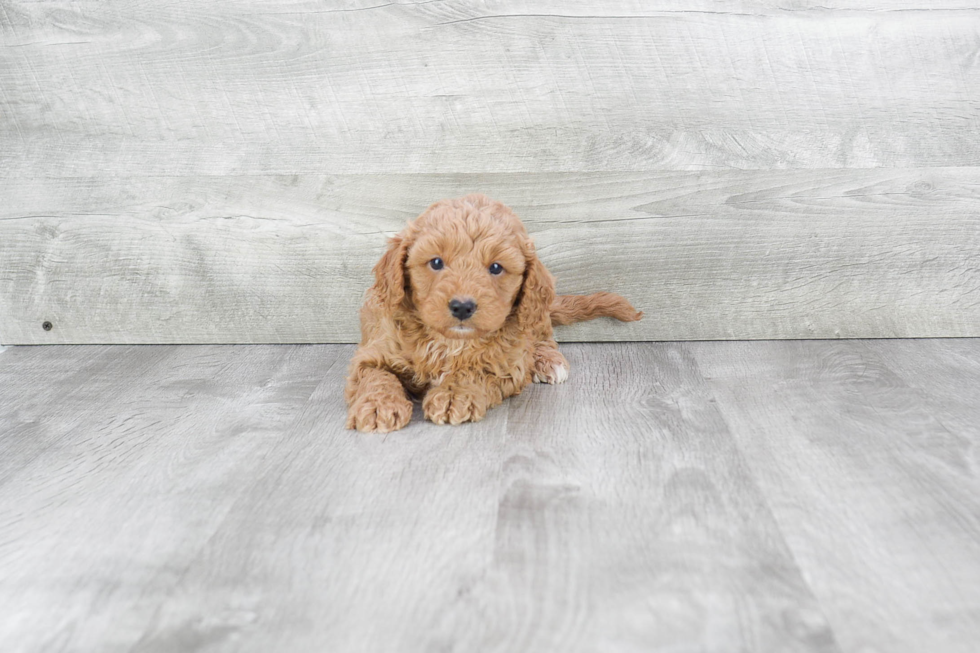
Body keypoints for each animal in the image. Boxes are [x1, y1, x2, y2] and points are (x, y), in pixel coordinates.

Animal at [344, 192, 644, 432]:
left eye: (496, 268)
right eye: (436, 262)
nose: (462, 306)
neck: (451, 342)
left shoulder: (508, 366)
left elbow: (474, 371)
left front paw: (453, 395)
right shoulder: (373, 351)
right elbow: (377, 376)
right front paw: (377, 406)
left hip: (534, 316)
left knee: (543, 336)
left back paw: (548, 361)